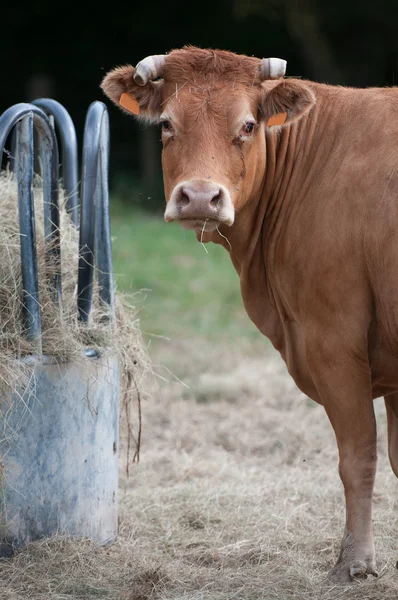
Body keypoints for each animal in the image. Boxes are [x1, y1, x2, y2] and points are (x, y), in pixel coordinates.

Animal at [100, 47, 398, 580]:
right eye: (167, 125)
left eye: (247, 125)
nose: (200, 196)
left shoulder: (333, 341)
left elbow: (358, 455)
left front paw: (356, 561)